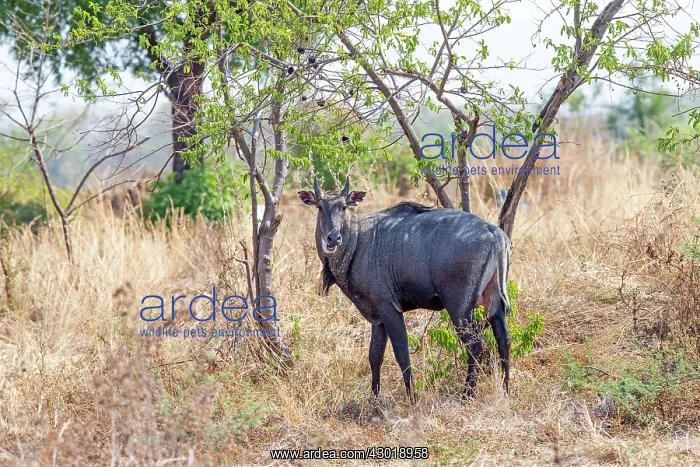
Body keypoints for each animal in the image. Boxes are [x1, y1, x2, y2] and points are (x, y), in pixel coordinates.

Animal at [298, 176, 512, 399]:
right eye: (320, 207)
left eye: (344, 206)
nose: (333, 238)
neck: (359, 241)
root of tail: (495, 234)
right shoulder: (377, 318)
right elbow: (375, 356)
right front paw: (374, 398)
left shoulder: (389, 309)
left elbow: (402, 354)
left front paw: (412, 397)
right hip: (493, 300)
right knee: (504, 339)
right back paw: (505, 390)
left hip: (459, 306)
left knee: (476, 344)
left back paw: (467, 395)